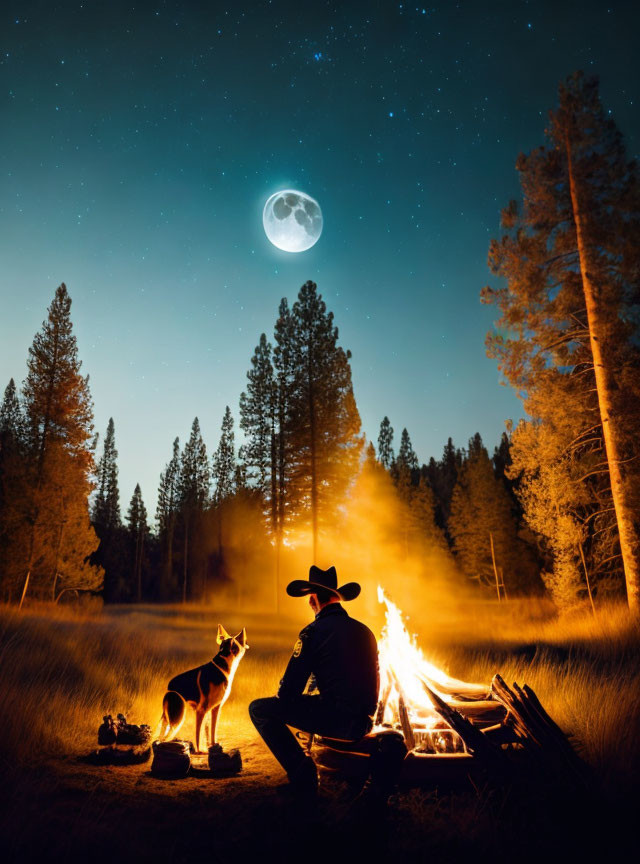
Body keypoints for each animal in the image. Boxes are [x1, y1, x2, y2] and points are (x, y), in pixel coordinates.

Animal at [159, 624, 249, 752]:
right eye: (241, 640)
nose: (246, 643)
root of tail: (168, 690)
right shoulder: (202, 710)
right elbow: (199, 735)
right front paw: (200, 751)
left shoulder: (214, 708)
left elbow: (210, 731)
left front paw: (212, 745)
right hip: (178, 718)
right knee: (163, 738)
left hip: (169, 718)